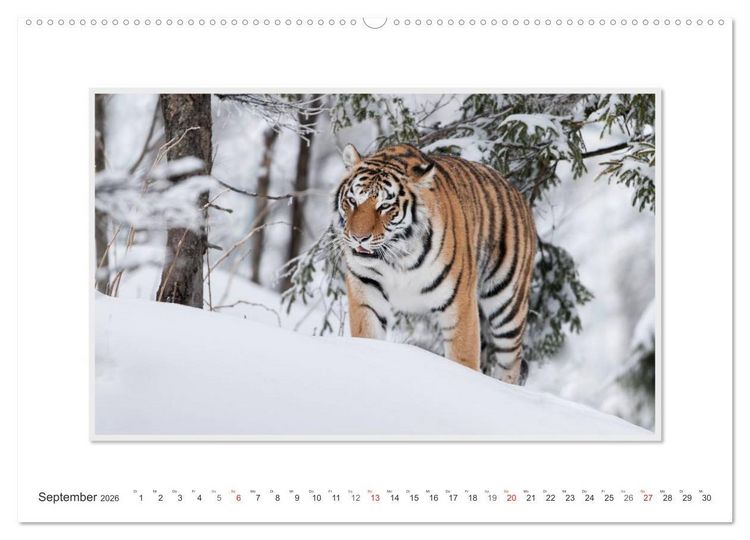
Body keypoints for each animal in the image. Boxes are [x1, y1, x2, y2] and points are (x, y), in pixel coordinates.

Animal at [332, 143, 537, 385]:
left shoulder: (459, 303)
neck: (397, 257)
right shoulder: (366, 289)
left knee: (511, 360)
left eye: (385, 206)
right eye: (353, 201)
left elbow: (464, 357)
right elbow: (367, 335)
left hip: (508, 306)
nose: (358, 238)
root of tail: (516, 191)